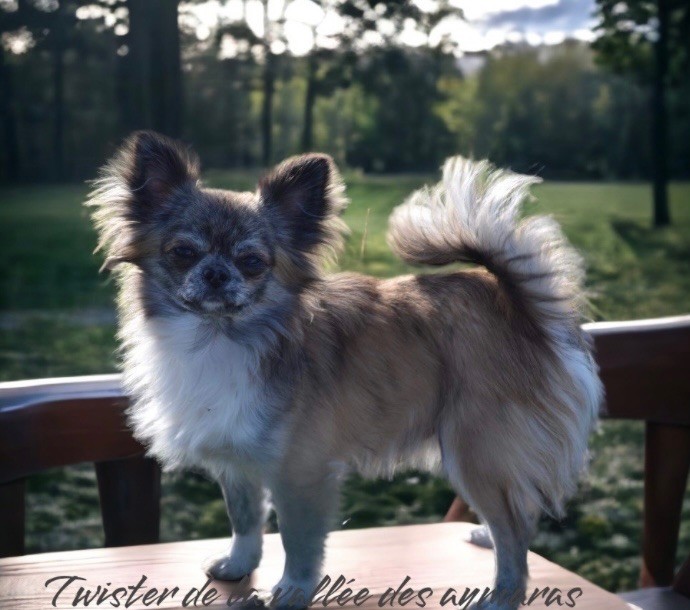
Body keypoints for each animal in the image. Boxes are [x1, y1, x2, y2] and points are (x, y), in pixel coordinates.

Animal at [87, 131, 600, 604]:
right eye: (183, 253)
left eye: (252, 262)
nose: (216, 273)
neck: (218, 337)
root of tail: (522, 308)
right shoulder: (239, 461)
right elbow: (245, 519)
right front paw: (239, 565)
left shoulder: (301, 471)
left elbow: (298, 540)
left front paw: (292, 591)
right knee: (521, 515)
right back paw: (483, 539)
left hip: (475, 451)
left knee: (513, 530)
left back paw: (500, 594)